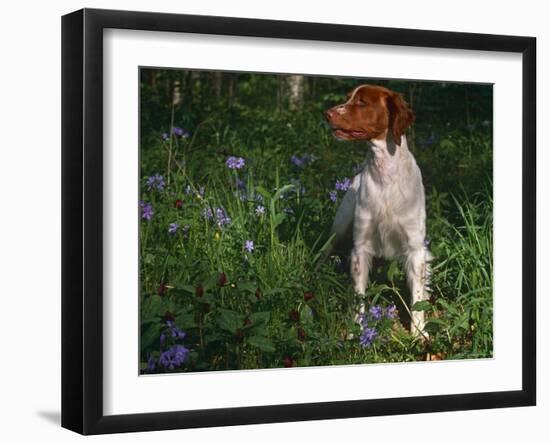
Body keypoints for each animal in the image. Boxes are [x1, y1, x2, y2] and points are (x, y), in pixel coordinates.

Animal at [326, 86, 434, 336]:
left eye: (362, 102)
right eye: (348, 98)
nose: (327, 113)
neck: (386, 176)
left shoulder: (415, 248)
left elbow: (417, 297)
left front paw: (418, 334)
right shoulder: (361, 246)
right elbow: (359, 295)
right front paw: (357, 330)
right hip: (340, 226)